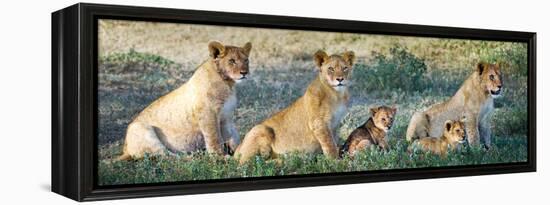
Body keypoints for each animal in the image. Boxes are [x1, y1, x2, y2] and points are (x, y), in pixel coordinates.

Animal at [119, 40, 253, 159]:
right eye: (232, 61)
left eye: (246, 60)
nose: (244, 72)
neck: (228, 84)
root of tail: (126, 151)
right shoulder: (208, 114)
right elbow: (214, 137)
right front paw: (220, 157)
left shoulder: (226, 116)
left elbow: (232, 136)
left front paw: (239, 150)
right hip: (140, 128)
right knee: (167, 156)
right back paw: (192, 157)